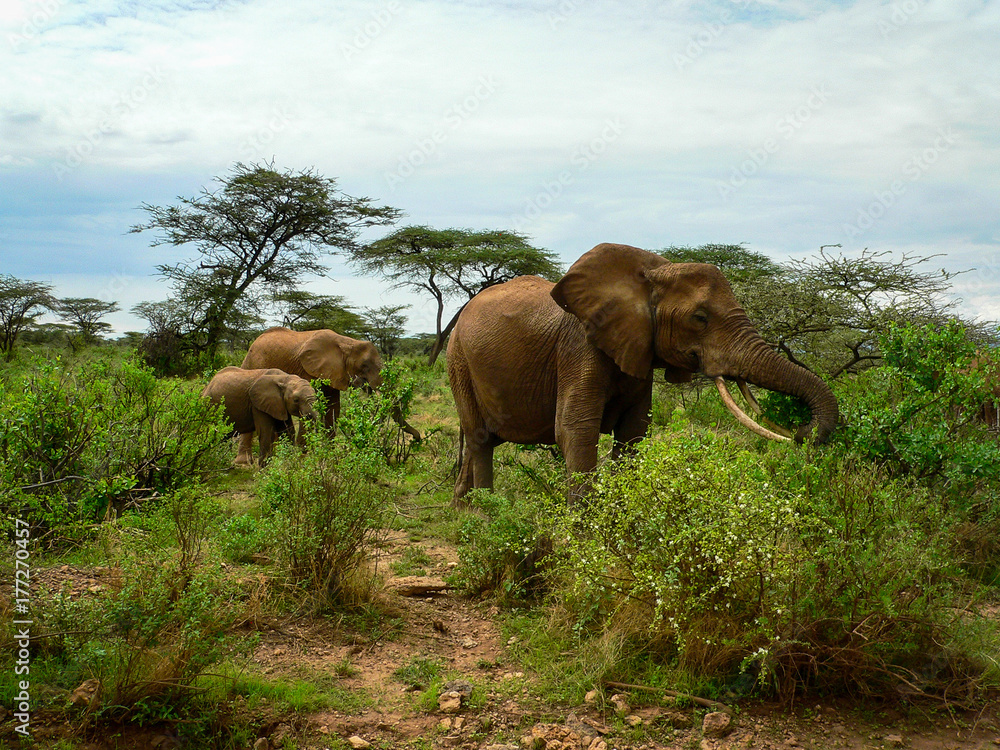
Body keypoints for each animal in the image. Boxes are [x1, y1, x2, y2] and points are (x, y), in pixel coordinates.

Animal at [447, 243, 839, 503]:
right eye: (699, 318)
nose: (802, 431)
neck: (652, 273)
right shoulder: (579, 346)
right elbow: (575, 428)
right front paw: (582, 538)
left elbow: (633, 432)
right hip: (458, 360)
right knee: (480, 439)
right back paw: (484, 515)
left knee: (484, 440)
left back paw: (462, 510)